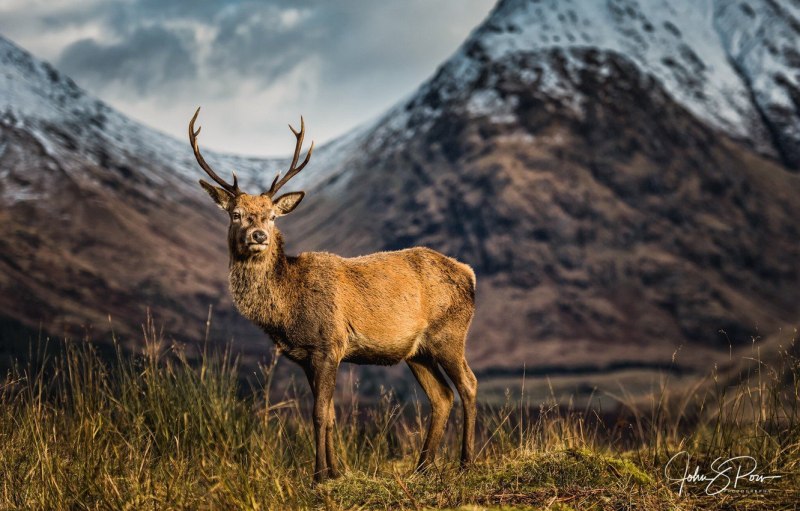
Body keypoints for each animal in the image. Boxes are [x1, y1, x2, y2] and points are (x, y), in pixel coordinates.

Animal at [188, 107, 478, 483]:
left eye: (272, 216)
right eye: (235, 214)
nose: (258, 235)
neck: (287, 309)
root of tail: (470, 274)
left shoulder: (329, 344)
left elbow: (318, 414)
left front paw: (319, 476)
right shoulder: (305, 356)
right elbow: (329, 415)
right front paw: (335, 471)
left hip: (450, 334)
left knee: (468, 384)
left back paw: (466, 462)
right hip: (418, 351)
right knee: (441, 396)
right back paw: (423, 467)